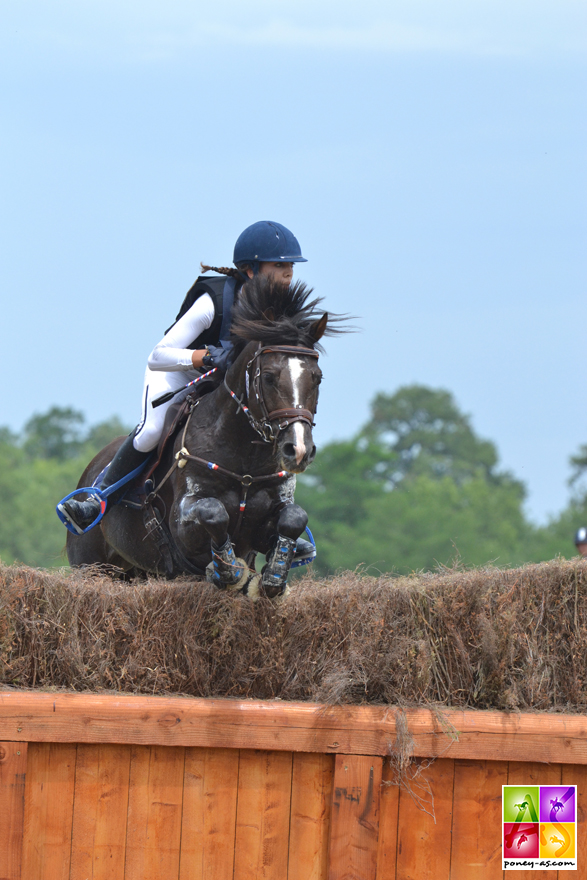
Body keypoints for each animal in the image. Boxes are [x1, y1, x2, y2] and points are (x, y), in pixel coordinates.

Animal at [65, 278, 336, 600]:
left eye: (317, 378)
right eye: (269, 376)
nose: (298, 450)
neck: (245, 459)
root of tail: (92, 469)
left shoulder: (267, 519)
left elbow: (294, 517)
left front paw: (274, 575)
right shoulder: (182, 523)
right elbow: (213, 513)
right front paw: (228, 570)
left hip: (135, 572)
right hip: (90, 566)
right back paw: (87, 507)